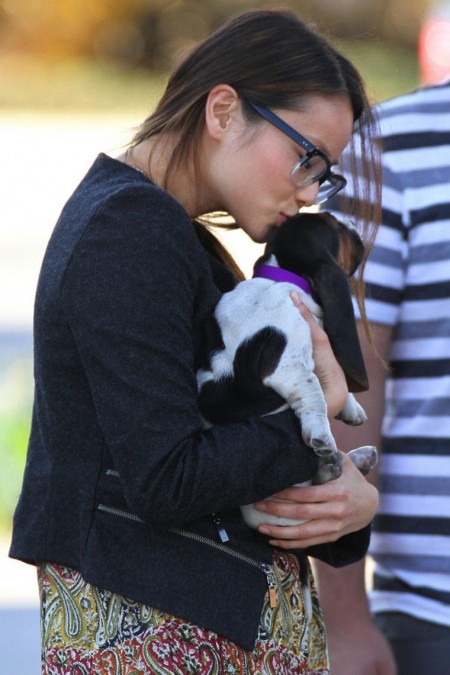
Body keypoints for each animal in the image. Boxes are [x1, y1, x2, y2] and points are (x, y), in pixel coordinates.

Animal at [199, 214, 378, 532]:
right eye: (335, 227)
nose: (354, 225)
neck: (279, 279)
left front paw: (351, 408)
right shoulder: (286, 367)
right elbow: (314, 390)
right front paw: (321, 433)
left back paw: (357, 459)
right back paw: (330, 465)